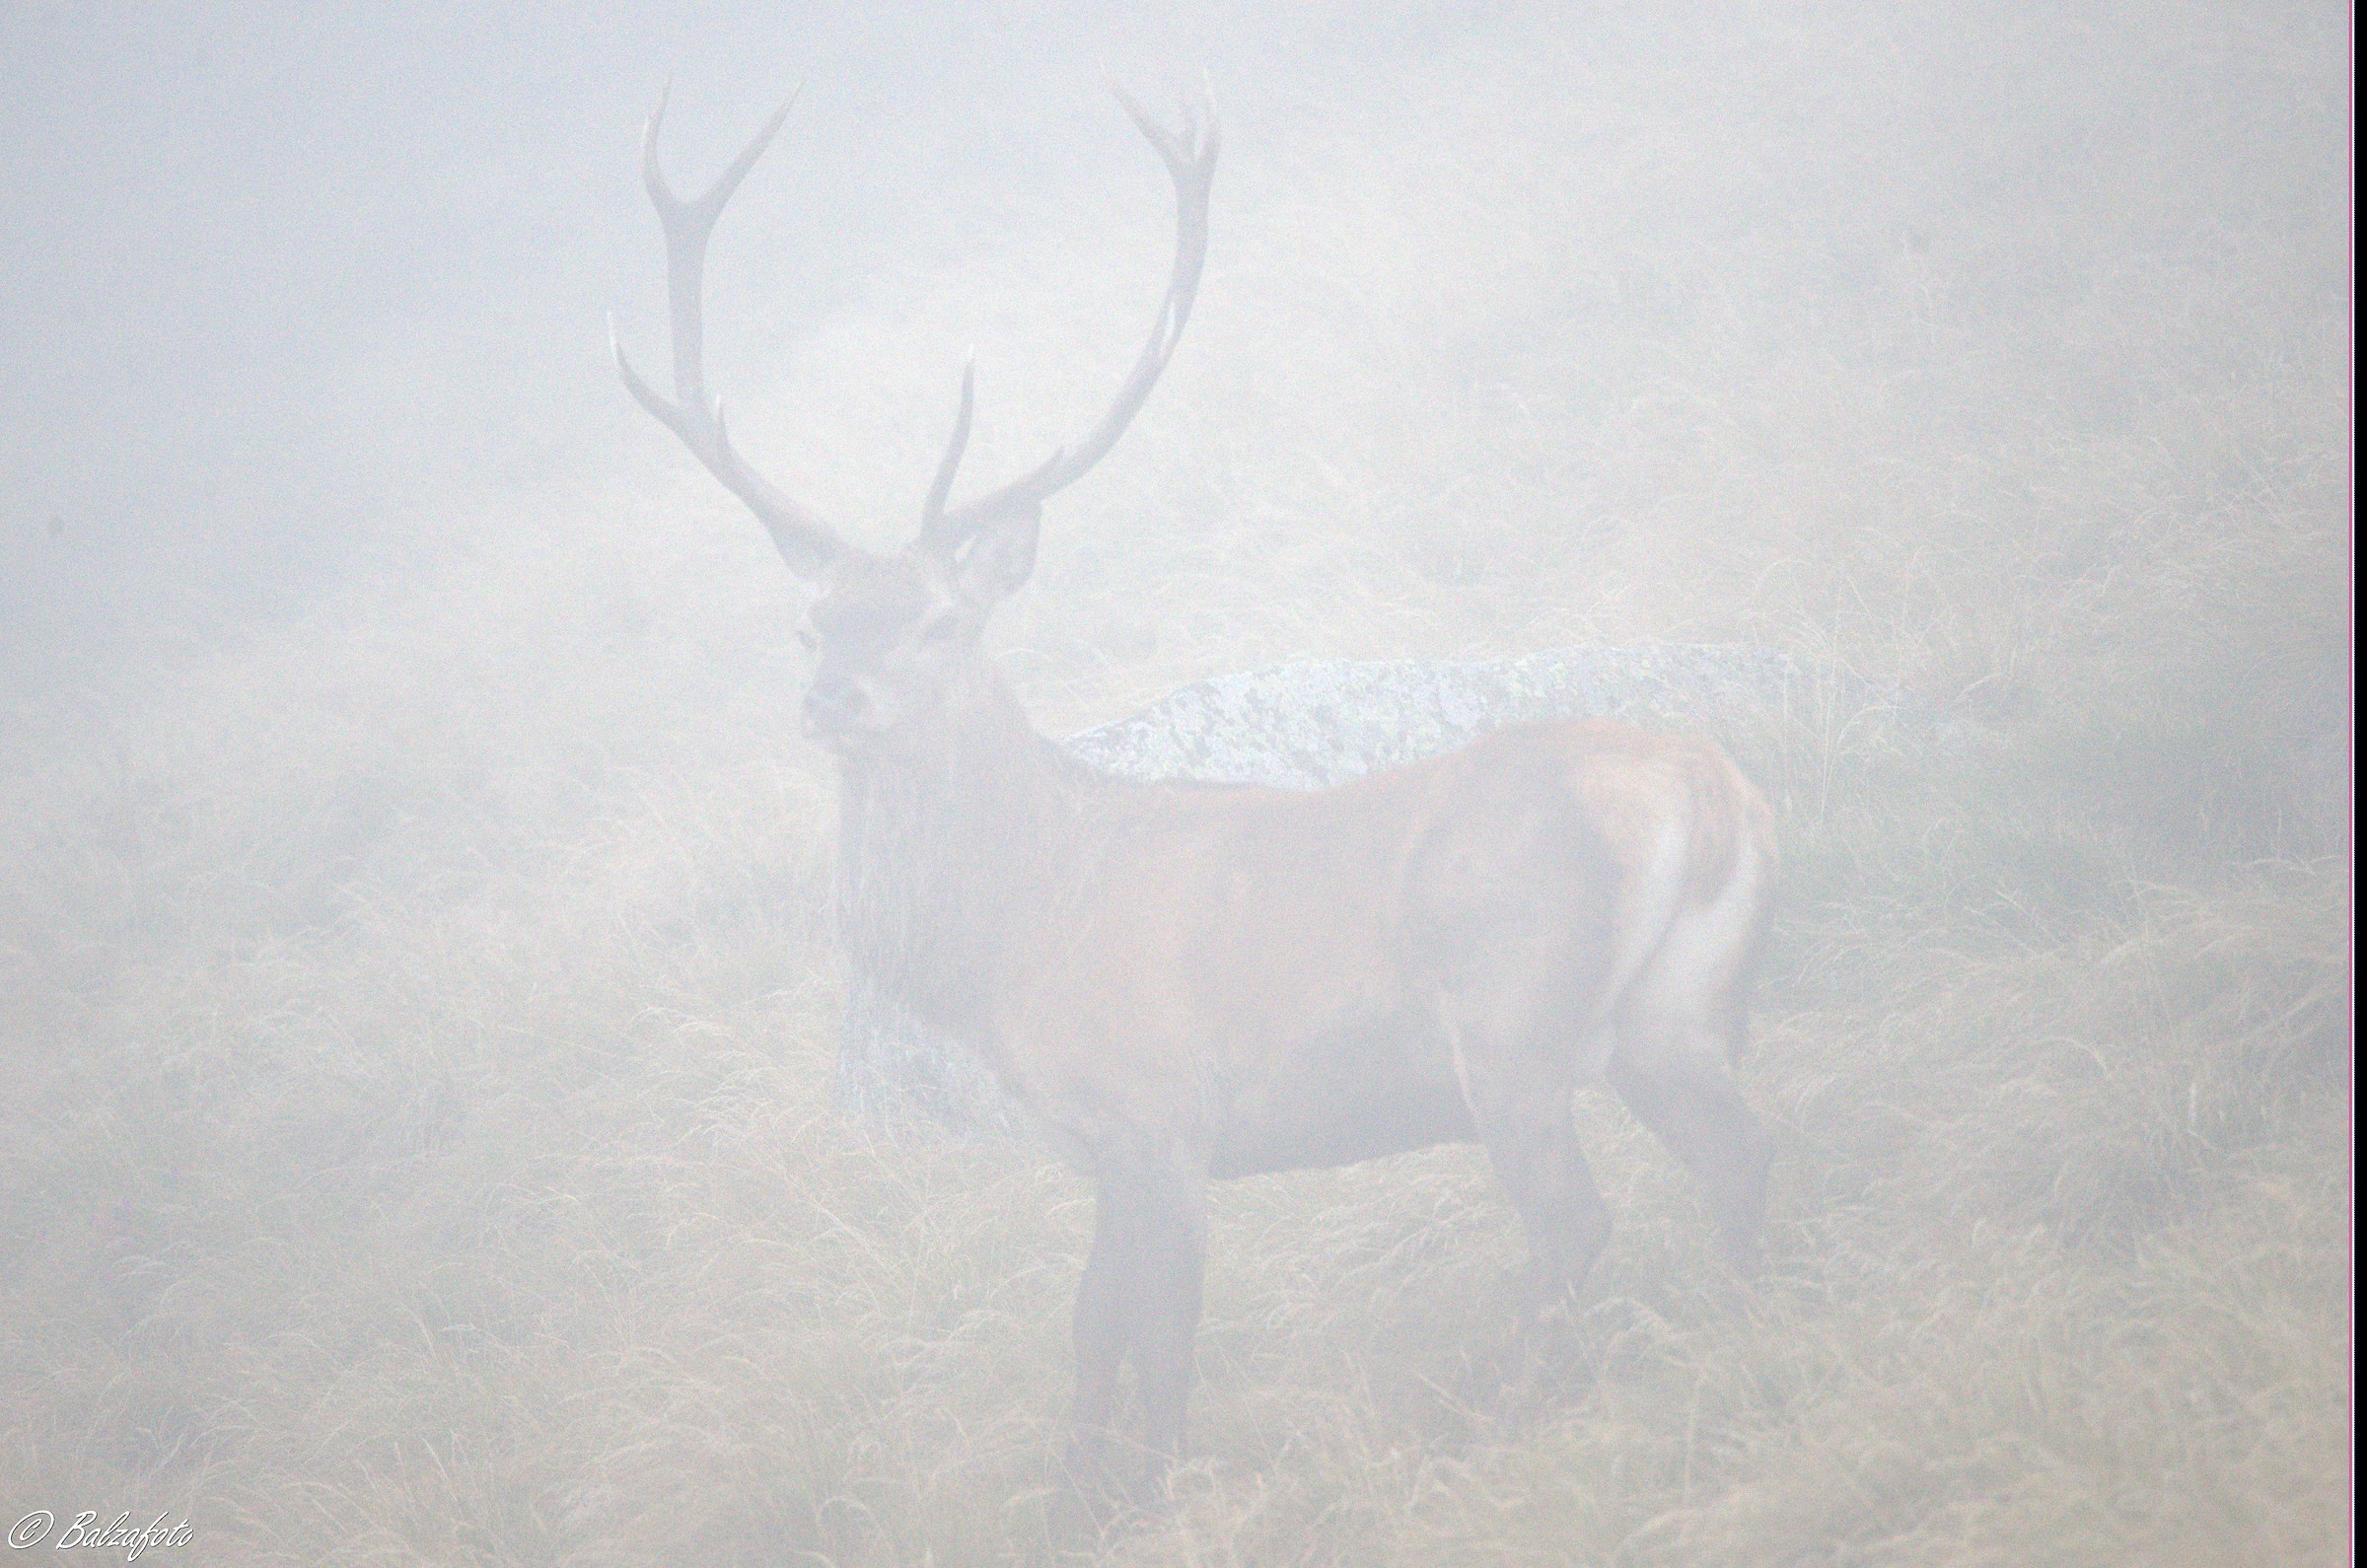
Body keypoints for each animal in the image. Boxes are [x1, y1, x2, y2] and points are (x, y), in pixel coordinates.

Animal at [614, 85, 1780, 1500]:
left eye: (941, 620)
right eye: (811, 624)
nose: (833, 697)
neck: (1011, 939)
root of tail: (1712, 792)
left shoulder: (1162, 1107)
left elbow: (1157, 1335)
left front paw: (1160, 1496)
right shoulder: (1094, 1142)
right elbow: (1093, 1327)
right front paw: (1074, 1503)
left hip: (1508, 1013)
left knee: (1572, 1213)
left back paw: (1511, 1421)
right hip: (1676, 1013)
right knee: (1742, 1163)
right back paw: (1747, 1332)